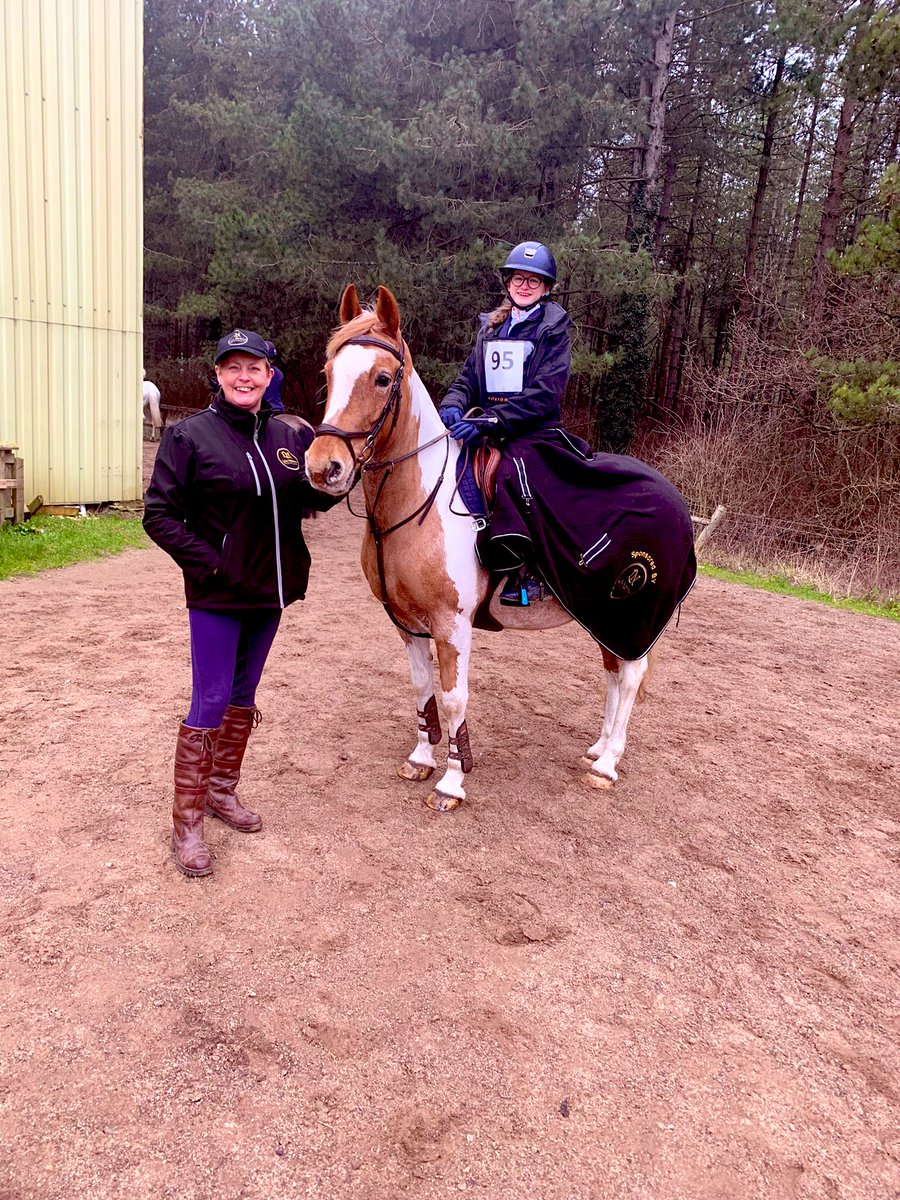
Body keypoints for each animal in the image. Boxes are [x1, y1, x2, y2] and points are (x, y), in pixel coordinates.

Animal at [305, 285, 671, 812]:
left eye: (381, 378)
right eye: (329, 374)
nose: (323, 467)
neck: (418, 503)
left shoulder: (452, 625)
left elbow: (454, 698)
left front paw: (452, 781)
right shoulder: (406, 624)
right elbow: (422, 689)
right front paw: (421, 759)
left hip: (631, 616)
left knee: (632, 674)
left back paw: (607, 764)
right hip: (603, 616)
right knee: (614, 672)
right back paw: (598, 748)